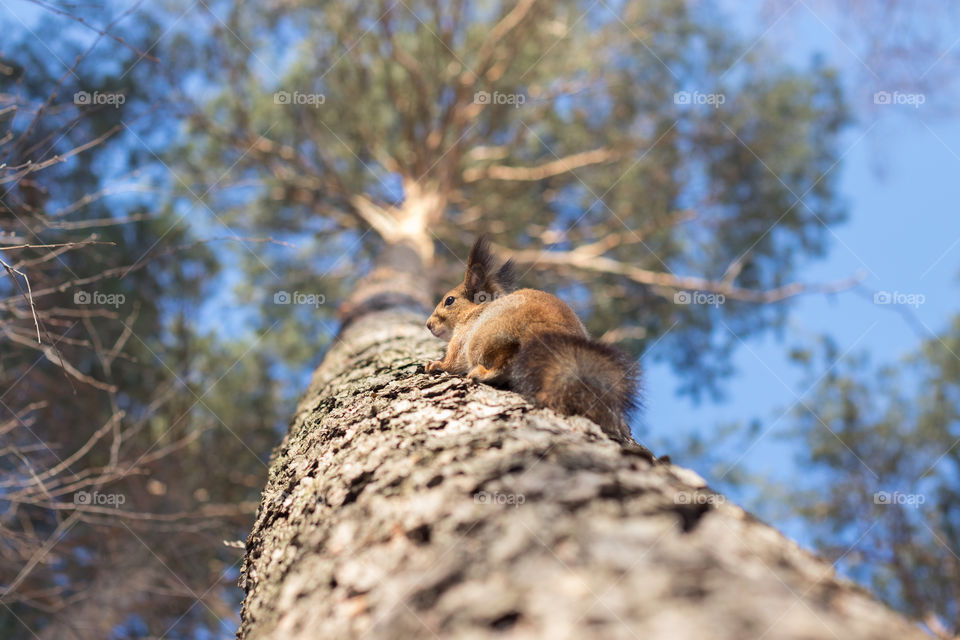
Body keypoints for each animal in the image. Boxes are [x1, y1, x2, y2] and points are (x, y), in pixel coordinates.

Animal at [424, 235, 640, 444]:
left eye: (449, 300)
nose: (428, 325)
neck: (473, 311)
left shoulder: (461, 339)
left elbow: (453, 362)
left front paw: (436, 364)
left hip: (485, 340)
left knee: (503, 363)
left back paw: (481, 373)